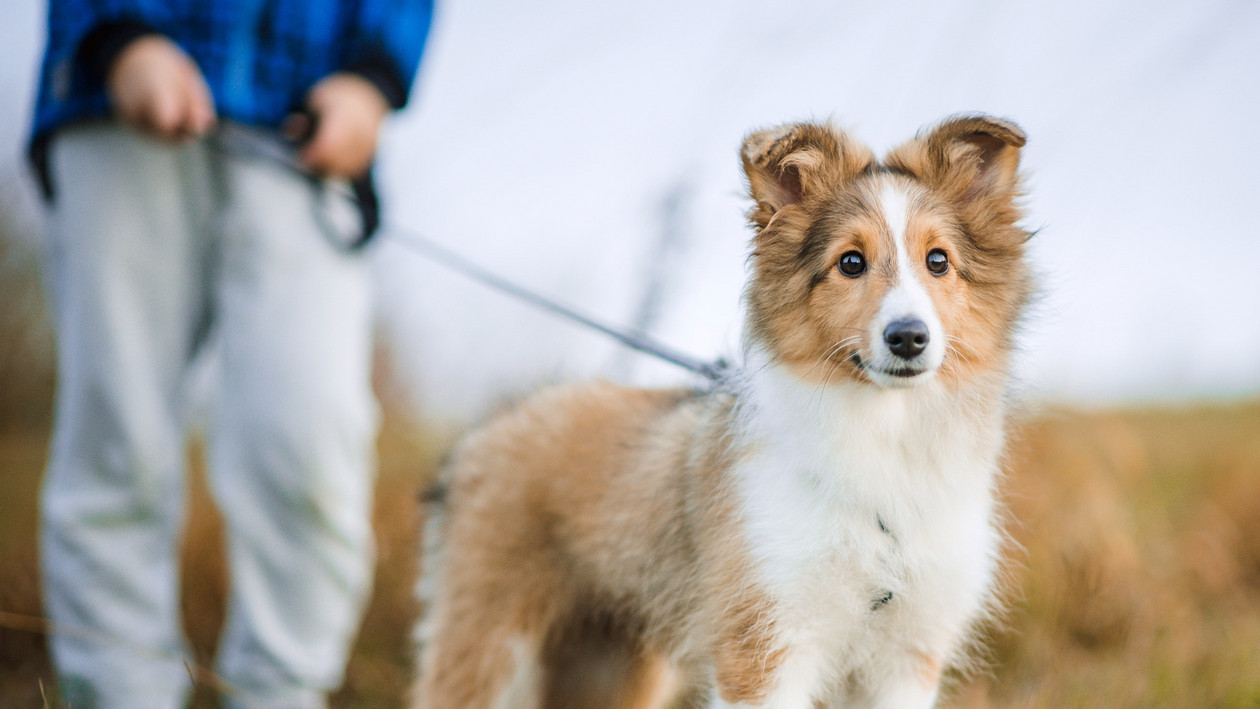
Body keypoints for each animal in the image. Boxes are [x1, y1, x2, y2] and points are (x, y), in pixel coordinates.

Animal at [413, 113, 1033, 705]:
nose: (909, 338)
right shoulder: (763, 647)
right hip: (487, 643)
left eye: (939, 261)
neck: (884, 444)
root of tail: (489, 430)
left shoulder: (906, 659)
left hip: (611, 666)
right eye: (851, 262)